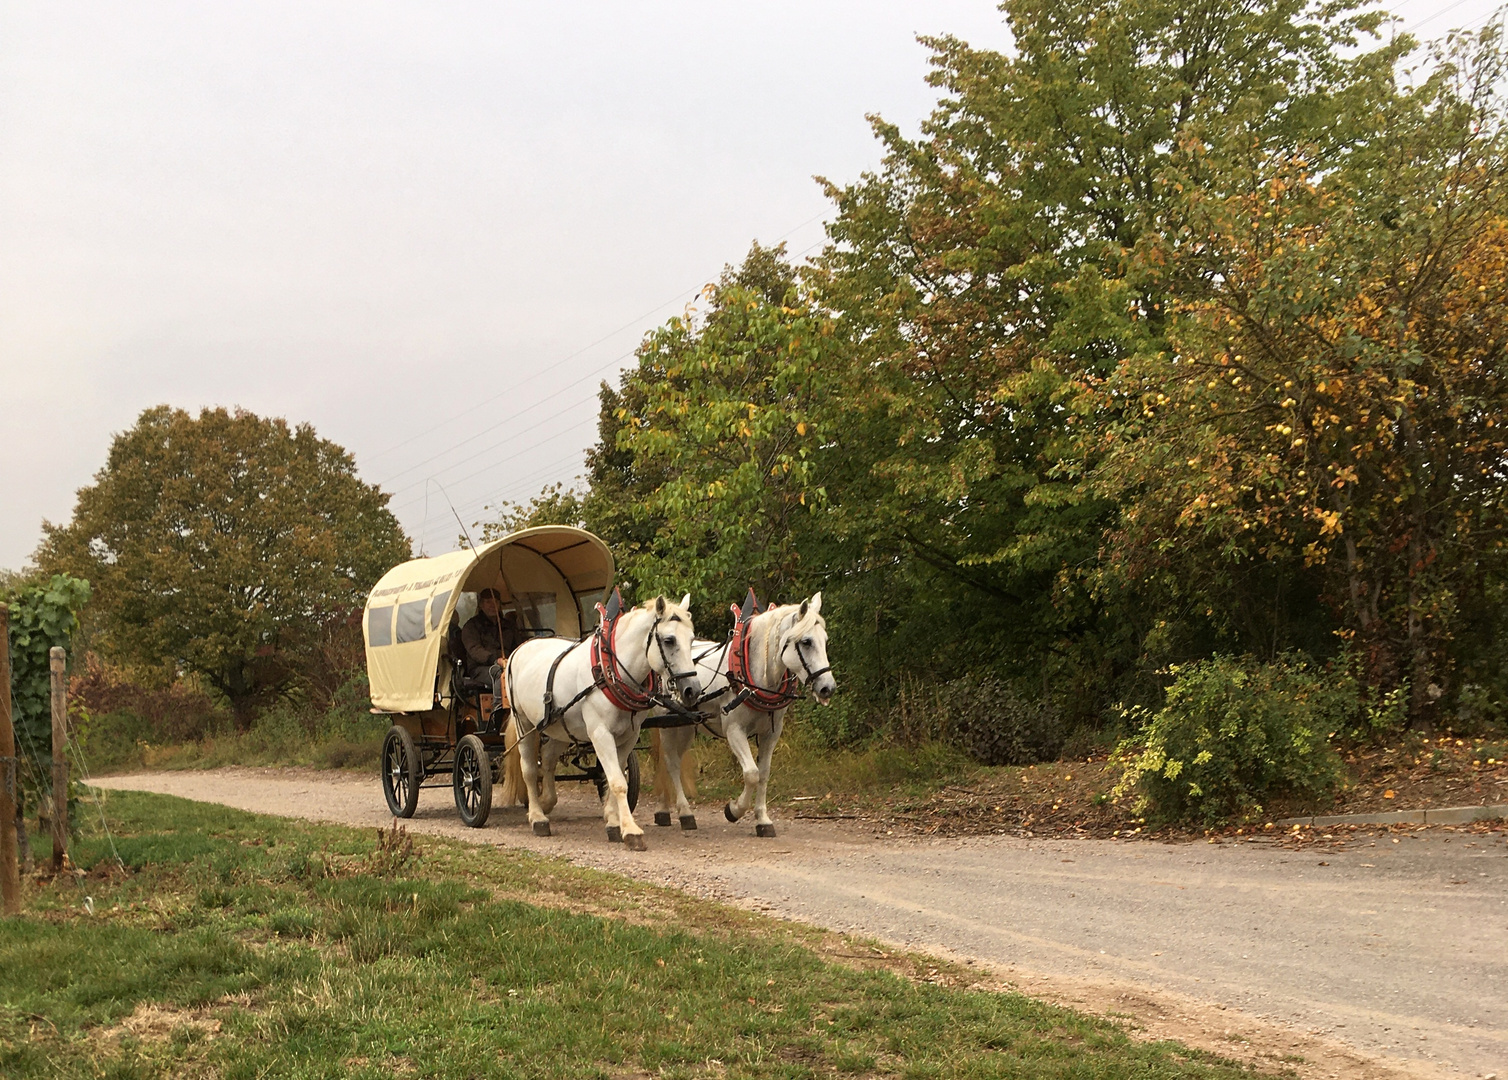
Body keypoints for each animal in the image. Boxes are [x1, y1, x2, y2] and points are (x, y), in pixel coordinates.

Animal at [503, 594, 696, 850]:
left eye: (692, 639)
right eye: (669, 640)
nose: (692, 690)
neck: (610, 672)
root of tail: (520, 648)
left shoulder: (628, 736)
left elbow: (615, 776)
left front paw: (613, 822)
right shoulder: (600, 734)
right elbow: (617, 781)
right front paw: (631, 830)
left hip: (558, 728)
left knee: (548, 762)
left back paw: (547, 802)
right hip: (525, 724)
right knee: (529, 770)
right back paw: (537, 817)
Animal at [651, 591, 838, 832]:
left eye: (825, 640)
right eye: (806, 642)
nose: (827, 687)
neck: (755, 679)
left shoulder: (771, 734)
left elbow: (764, 774)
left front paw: (763, 819)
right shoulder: (734, 730)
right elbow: (751, 774)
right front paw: (734, 810)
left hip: (684, 726)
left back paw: (667, 809)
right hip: (665, 724)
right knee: (670, 762)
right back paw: (682, 812)